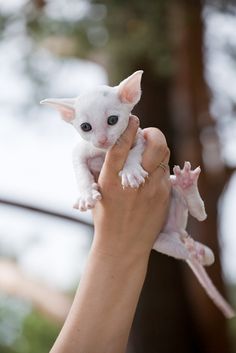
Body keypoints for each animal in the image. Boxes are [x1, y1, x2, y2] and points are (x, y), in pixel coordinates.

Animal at [40, 70, 234, 318]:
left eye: (112, 120)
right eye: (85, 127)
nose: (102, 140)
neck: (105, 152)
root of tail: (177, 229)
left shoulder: (141, 137)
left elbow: (135, 151)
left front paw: (131, 170)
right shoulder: (81, 150)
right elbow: (80, 167)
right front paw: (85, 194)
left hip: (176, 200)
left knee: (200, 215)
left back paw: (186, 186)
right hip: (161, 241)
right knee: (190, 253)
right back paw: (197, 250)